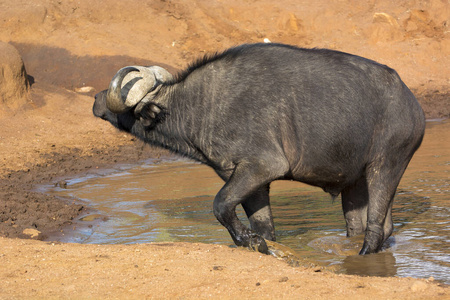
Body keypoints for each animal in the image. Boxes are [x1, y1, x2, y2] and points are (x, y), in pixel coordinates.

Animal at [92, 43, 426, 254]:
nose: (96, 100)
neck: (201, 105)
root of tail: (412, 104)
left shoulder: (263, 166)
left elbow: (220, 204)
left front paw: (245, 240)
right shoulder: (251, 179)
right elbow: (263, 225)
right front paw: (259, 243)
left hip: (386, 166)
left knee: (376, 227)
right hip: (354, 183)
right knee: (369, 226)